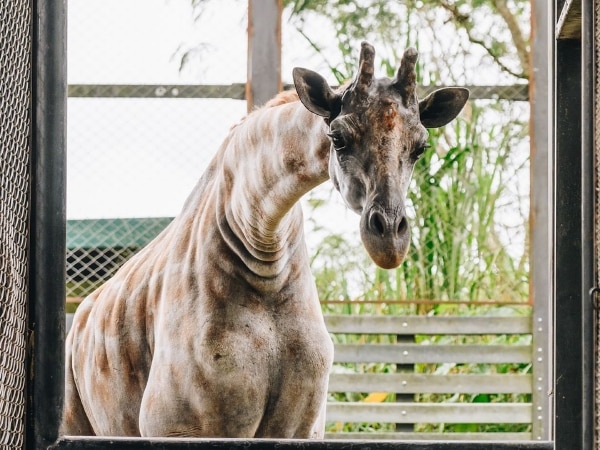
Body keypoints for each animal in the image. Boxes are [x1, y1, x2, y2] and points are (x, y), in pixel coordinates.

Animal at [63, 42, 472, 436]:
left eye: (420, 147)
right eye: (337, 138)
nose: (389, 241)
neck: (264, 253)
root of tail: (80, 316)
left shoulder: (301, 427)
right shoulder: (179, 427)